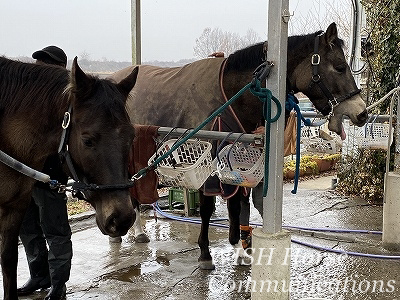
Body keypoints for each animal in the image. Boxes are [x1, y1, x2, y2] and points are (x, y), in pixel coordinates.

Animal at [111, 22, 368, 270]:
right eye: (339, 67)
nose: (362, 113)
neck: (230, 93)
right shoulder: (206, 165)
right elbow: (208, 208)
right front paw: (205, 253)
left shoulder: (231, 160)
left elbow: (236, 206)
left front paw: (240, 250)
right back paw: (133, 232)